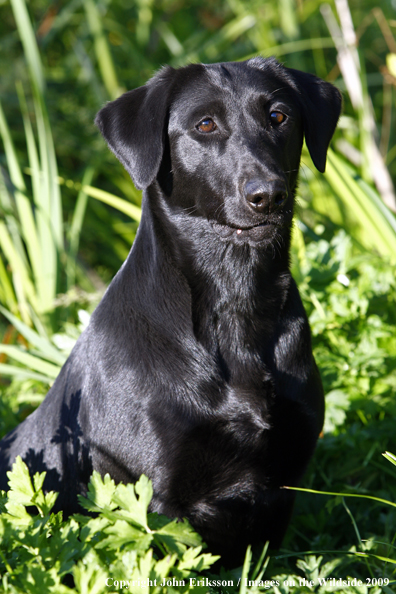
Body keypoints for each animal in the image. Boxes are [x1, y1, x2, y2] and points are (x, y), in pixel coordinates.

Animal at [0, 57, 340, 560]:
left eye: (278, 116)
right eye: (205, 124)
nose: (268, 195)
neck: (234, 306)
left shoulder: (283, 487)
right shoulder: (158, 497)